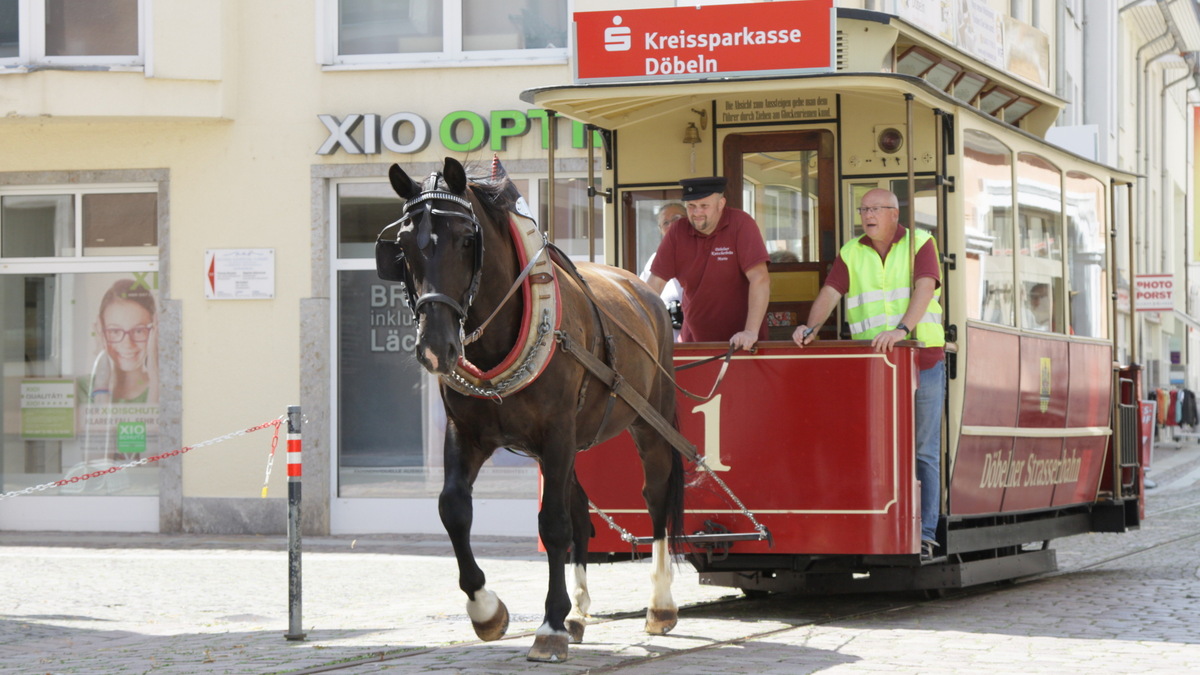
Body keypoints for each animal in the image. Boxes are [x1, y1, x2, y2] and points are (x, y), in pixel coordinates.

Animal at [379, 156, 691, 658]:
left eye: (466, 239)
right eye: (404, 247)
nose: (435, 349)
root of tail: (642, 291)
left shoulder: (557, 433)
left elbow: (553, 524)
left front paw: (550, 624)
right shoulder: (467, 433)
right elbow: (454, 508)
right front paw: (487, 610)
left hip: (648, 420)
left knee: (656, 494)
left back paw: (659, 604)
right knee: (581, 508)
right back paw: (580, 611)